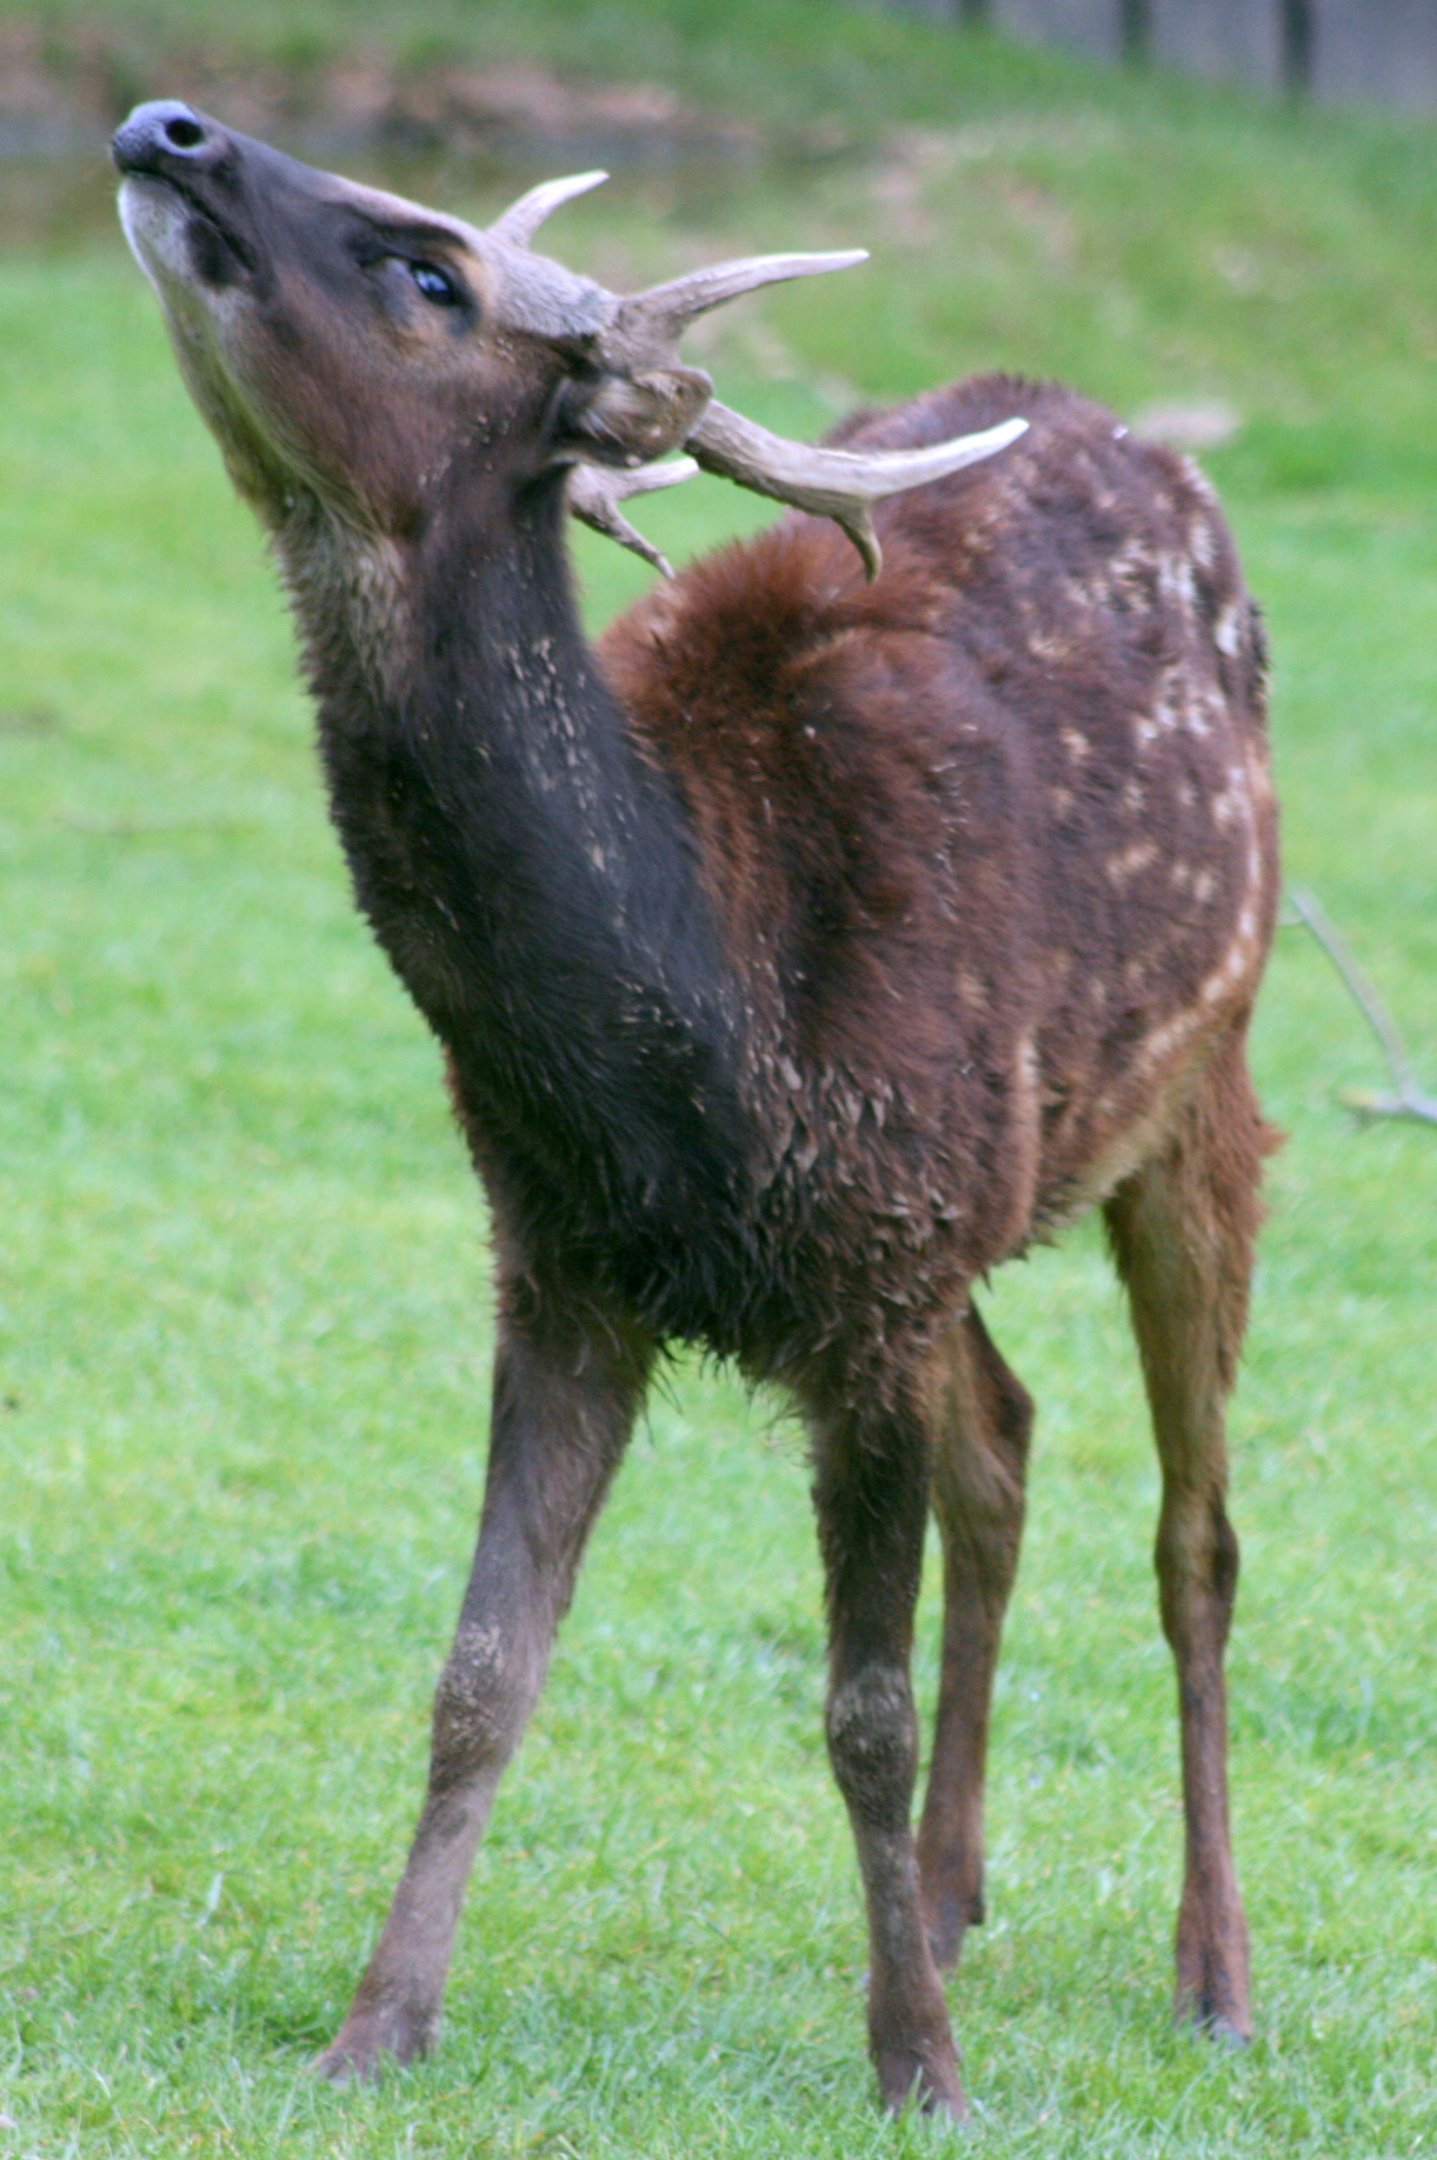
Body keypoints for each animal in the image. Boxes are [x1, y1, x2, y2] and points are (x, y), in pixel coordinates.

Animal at [111, 97, 1280, 2121]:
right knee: (1006, 1438)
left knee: (1192, 1538)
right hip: (967, 1221)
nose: (170, 126)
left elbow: (856, 1710)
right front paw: (375, 2029)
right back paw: (955, 1899)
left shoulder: (874, 1277)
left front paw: (918, 2071)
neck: (702, 1031)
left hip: (1201, 1086)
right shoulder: (567, 1260)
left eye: (434, 275)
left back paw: (1209, 1971)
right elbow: (479, 1671)